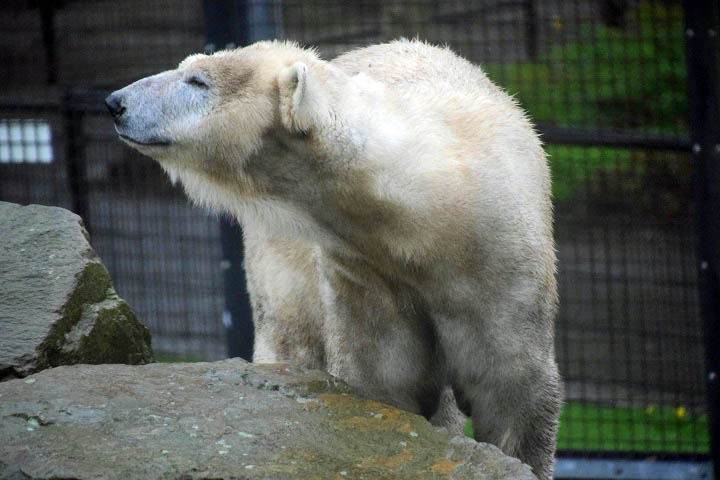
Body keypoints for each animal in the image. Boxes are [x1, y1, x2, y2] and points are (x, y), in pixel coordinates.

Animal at [108, 41, 564, 480]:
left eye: (197, 81)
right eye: (187, 68)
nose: (115, 102)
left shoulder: (498, 266)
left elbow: (514, 392)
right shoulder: (368, 276)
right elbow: (384, 383)